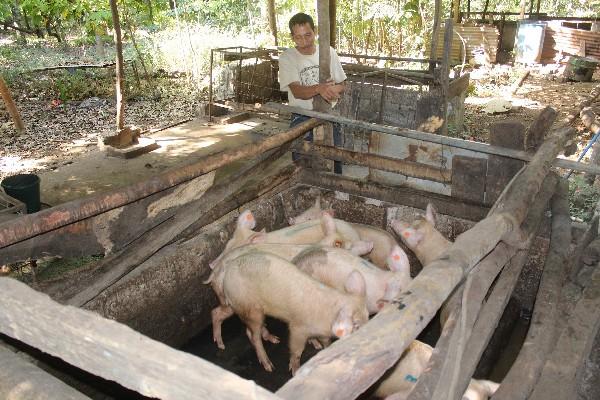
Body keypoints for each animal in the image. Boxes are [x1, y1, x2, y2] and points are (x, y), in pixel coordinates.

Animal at [221, 252, 370, 374]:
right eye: (356, 325)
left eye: (368, 317)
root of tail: (227, 273)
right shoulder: (297, 328)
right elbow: (296, 350)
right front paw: (295, 371)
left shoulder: (321, 332)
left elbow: (325, 341)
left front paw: (319, 346)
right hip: (250, 308)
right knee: (253, 335)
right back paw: (269, 366)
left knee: (251, 330)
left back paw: (275, 339)